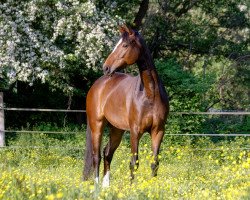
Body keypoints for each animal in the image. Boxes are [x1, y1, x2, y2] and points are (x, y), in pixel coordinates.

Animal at [83, 25, 169, 188]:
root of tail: (99, 83)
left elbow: (155, 163)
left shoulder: (158, 131)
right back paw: (96, 187)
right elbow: (134, 162)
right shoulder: (135, 131)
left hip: (117, 129)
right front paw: (131, 188)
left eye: (124, 45)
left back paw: (106, 186)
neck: (150, 95)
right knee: (96, 156)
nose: (106, 67)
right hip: (97, 125)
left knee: (107, 153)